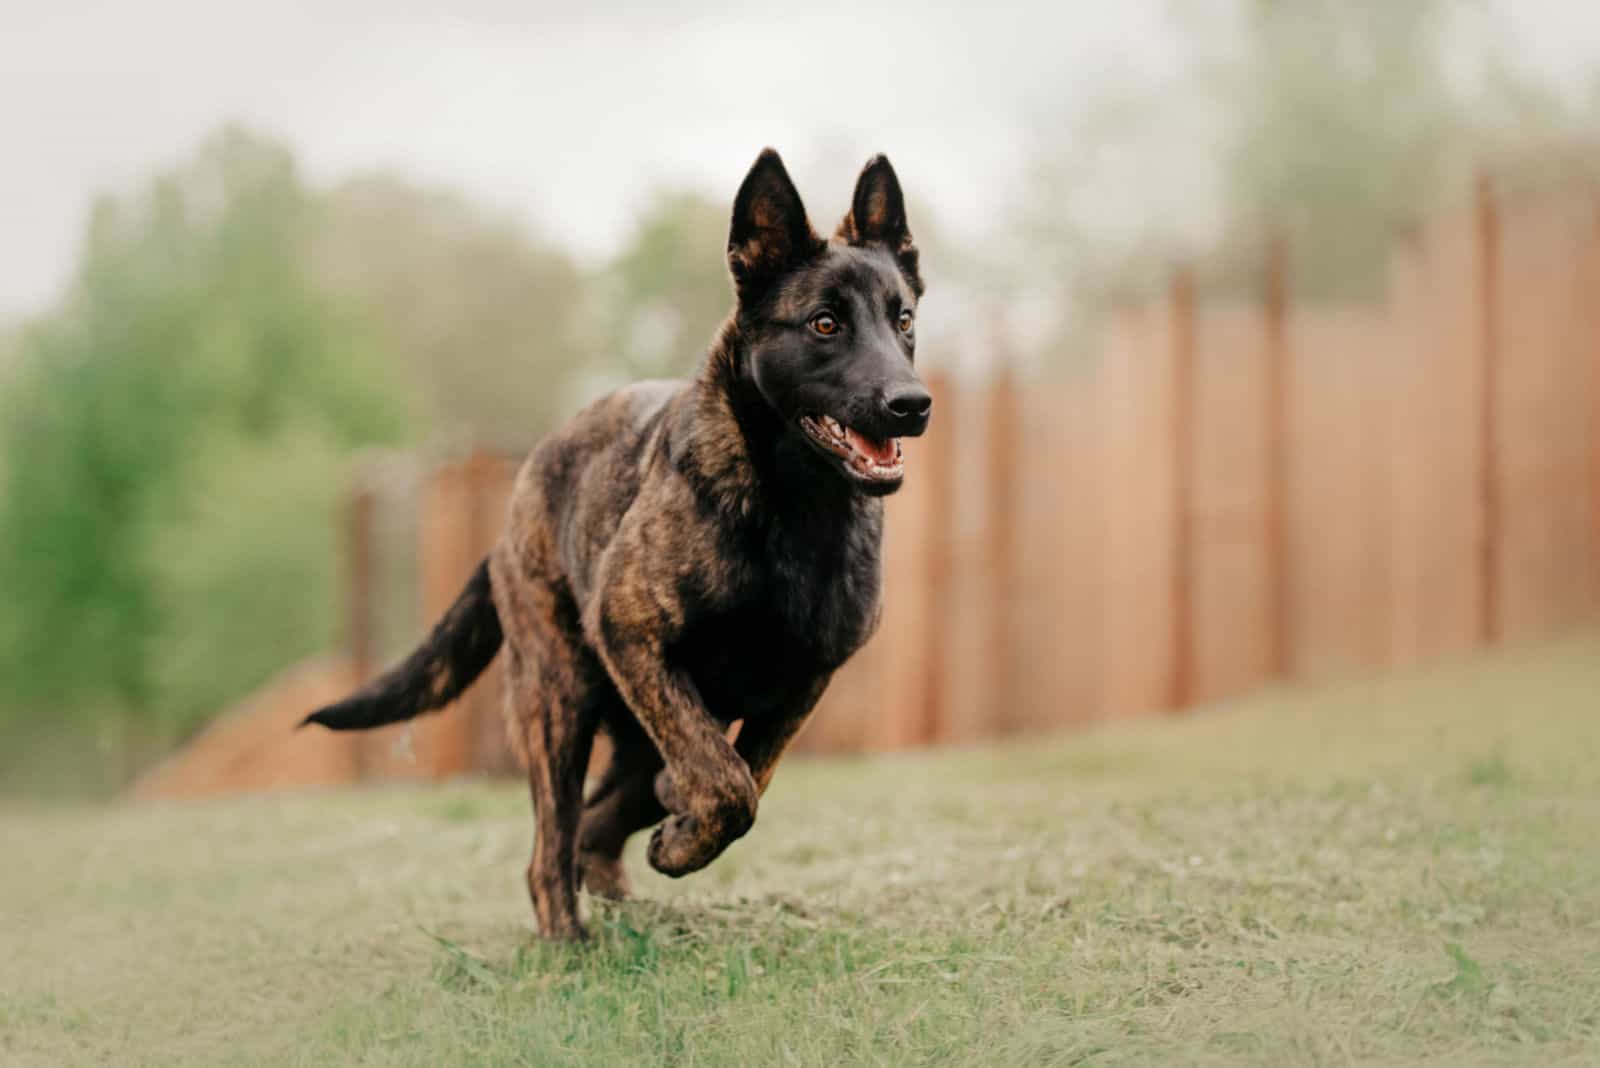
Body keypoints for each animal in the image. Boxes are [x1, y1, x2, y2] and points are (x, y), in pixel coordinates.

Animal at [300, 150, 934, 940]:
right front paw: (684, 836)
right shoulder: (634, 636)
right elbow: (727, 784)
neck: (793, 506)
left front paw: (679, 835)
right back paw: (569, 942)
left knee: (600, 820)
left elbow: (743, 776)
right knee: (551, 846)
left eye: (902, 320)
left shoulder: (802, 681)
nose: (912, 404)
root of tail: (510, 517)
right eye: (824, 323)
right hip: (558, 700)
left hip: (623, 726)